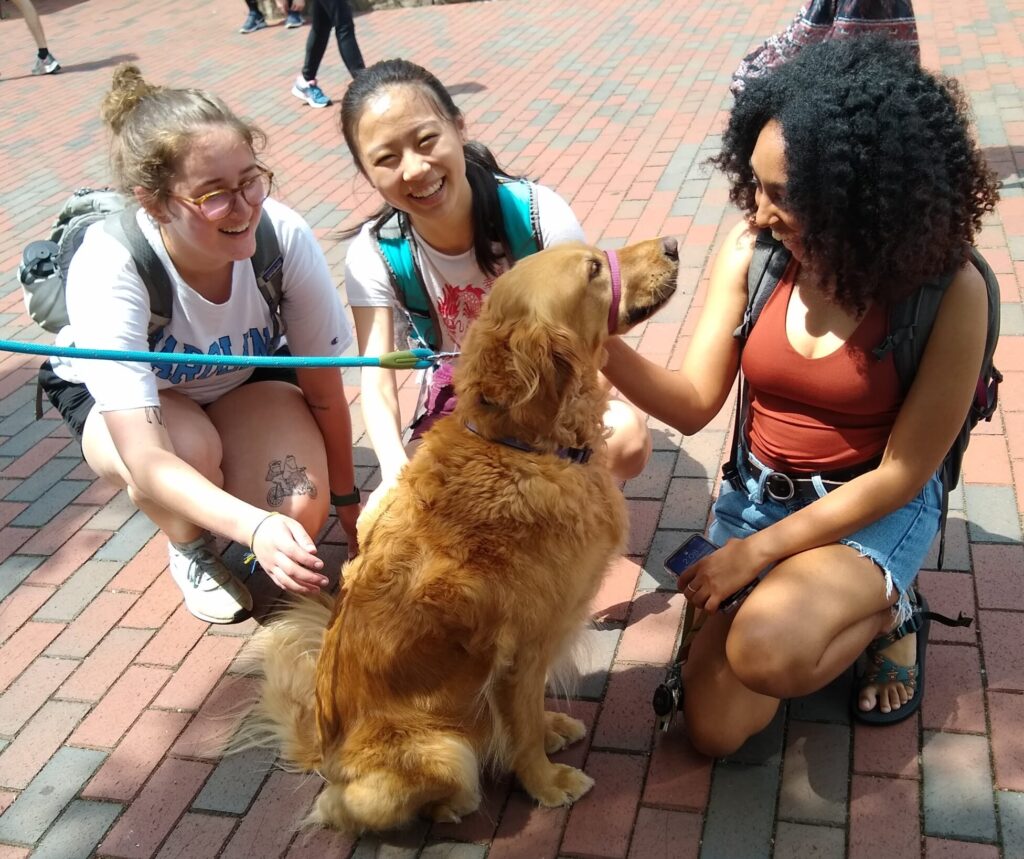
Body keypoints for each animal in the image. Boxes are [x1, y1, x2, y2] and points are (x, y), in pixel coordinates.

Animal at [244, 235, 679, 831]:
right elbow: (521, 730)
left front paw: (547, 734)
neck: (526, 448)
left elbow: (527, 716)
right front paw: (546, 783)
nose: (674, 245)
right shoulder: (522, 650)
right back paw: (454, 804)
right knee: (348, 808)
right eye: (593, 269)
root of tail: (324, 754)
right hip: (442, 756)